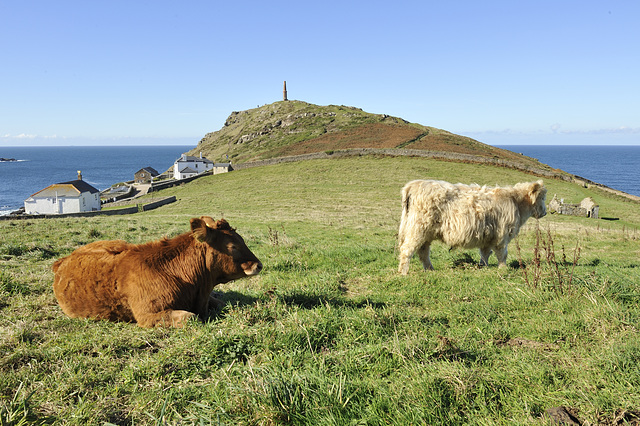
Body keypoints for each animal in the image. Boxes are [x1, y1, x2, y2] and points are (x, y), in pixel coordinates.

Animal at [52, 218, 262, 328]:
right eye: (233, 246)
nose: (258, 265)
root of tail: (62, 260)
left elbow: (222, 303)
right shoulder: (146, 316)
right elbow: (191, 317)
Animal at [398, 179, 548, 272]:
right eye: (542, 198)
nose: (545, 212)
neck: (516, 202)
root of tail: (415, 184)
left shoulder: (488, 236)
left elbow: (486, 253)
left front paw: (483, 266)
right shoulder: (502, 235)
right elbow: (502, 254)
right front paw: (503, 268)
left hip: (425, 233)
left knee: (423, 251)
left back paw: (430, 269)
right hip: (417, 229)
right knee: (407, 249)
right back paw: (403, 272)